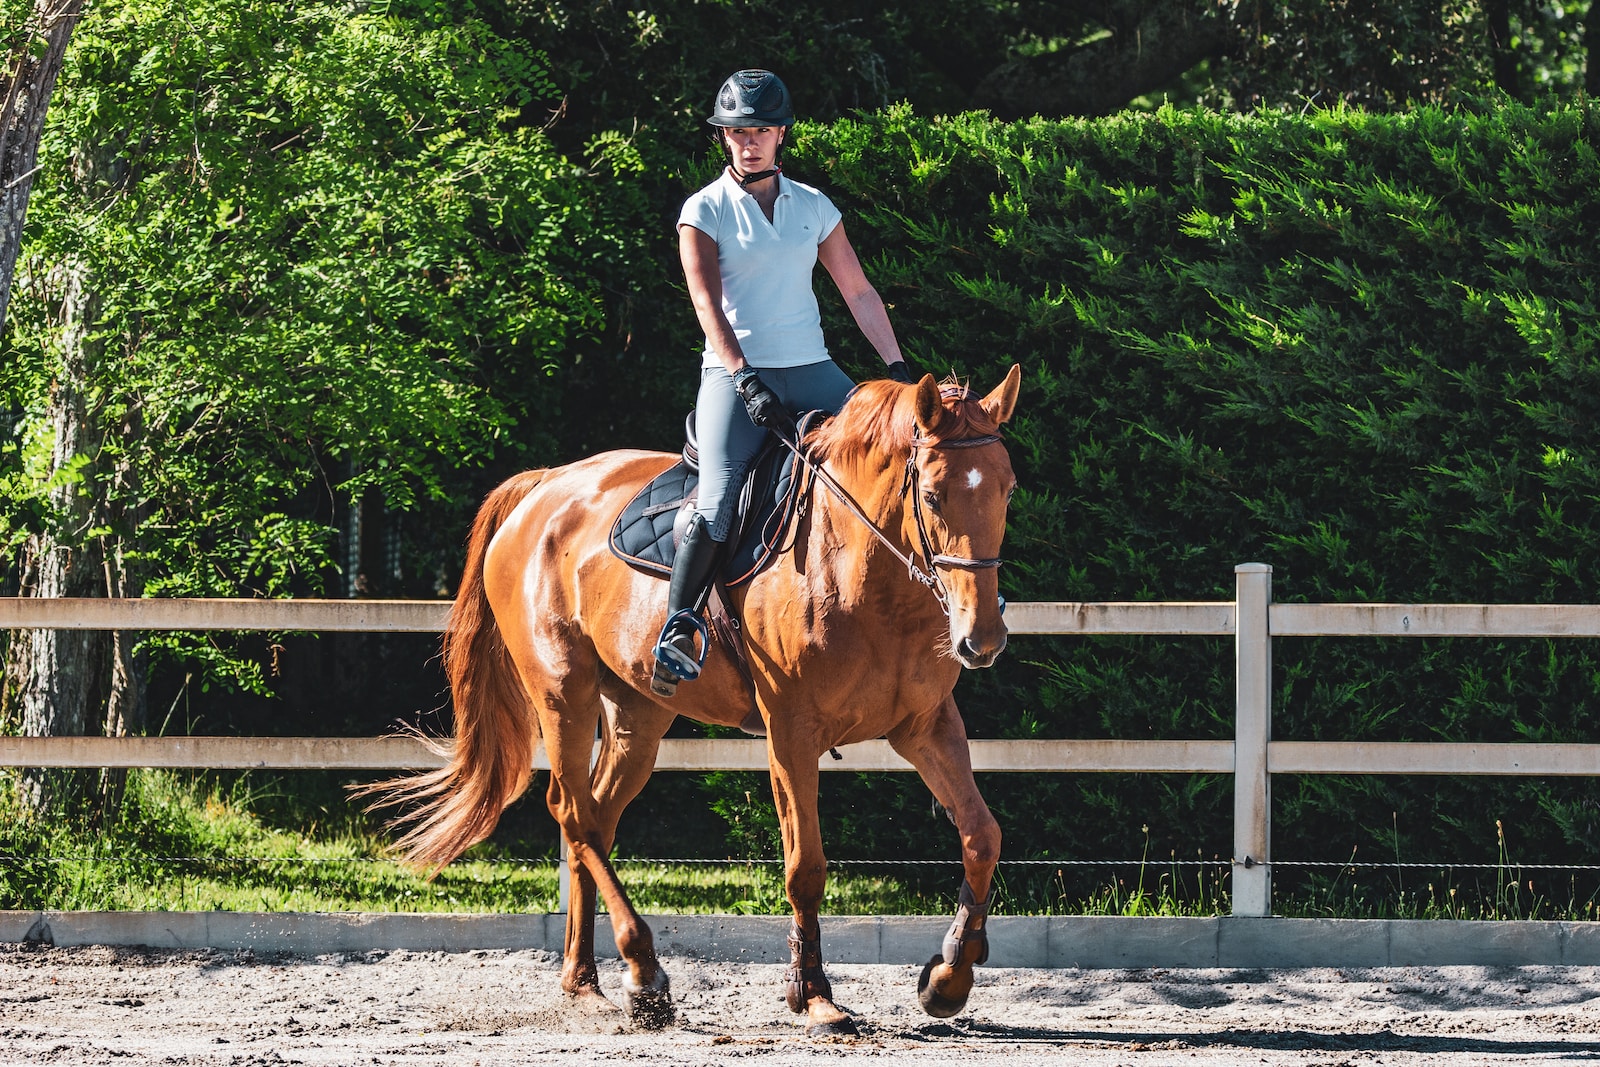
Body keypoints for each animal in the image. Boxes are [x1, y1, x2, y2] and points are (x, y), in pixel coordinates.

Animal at [366, 365, 1021, 1035]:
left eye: (1008, 491)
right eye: (934, 496)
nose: (982, 639)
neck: (862, 574)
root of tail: (542, 488)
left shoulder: (926, 725)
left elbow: (982, 836)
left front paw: (949, 977)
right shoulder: (792, 732)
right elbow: (806, 866)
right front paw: (813, 995)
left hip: (637, 714)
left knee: (595, 817)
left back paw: (586, 982)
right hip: (562, 692)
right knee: (573, 812)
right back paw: (645, 972)